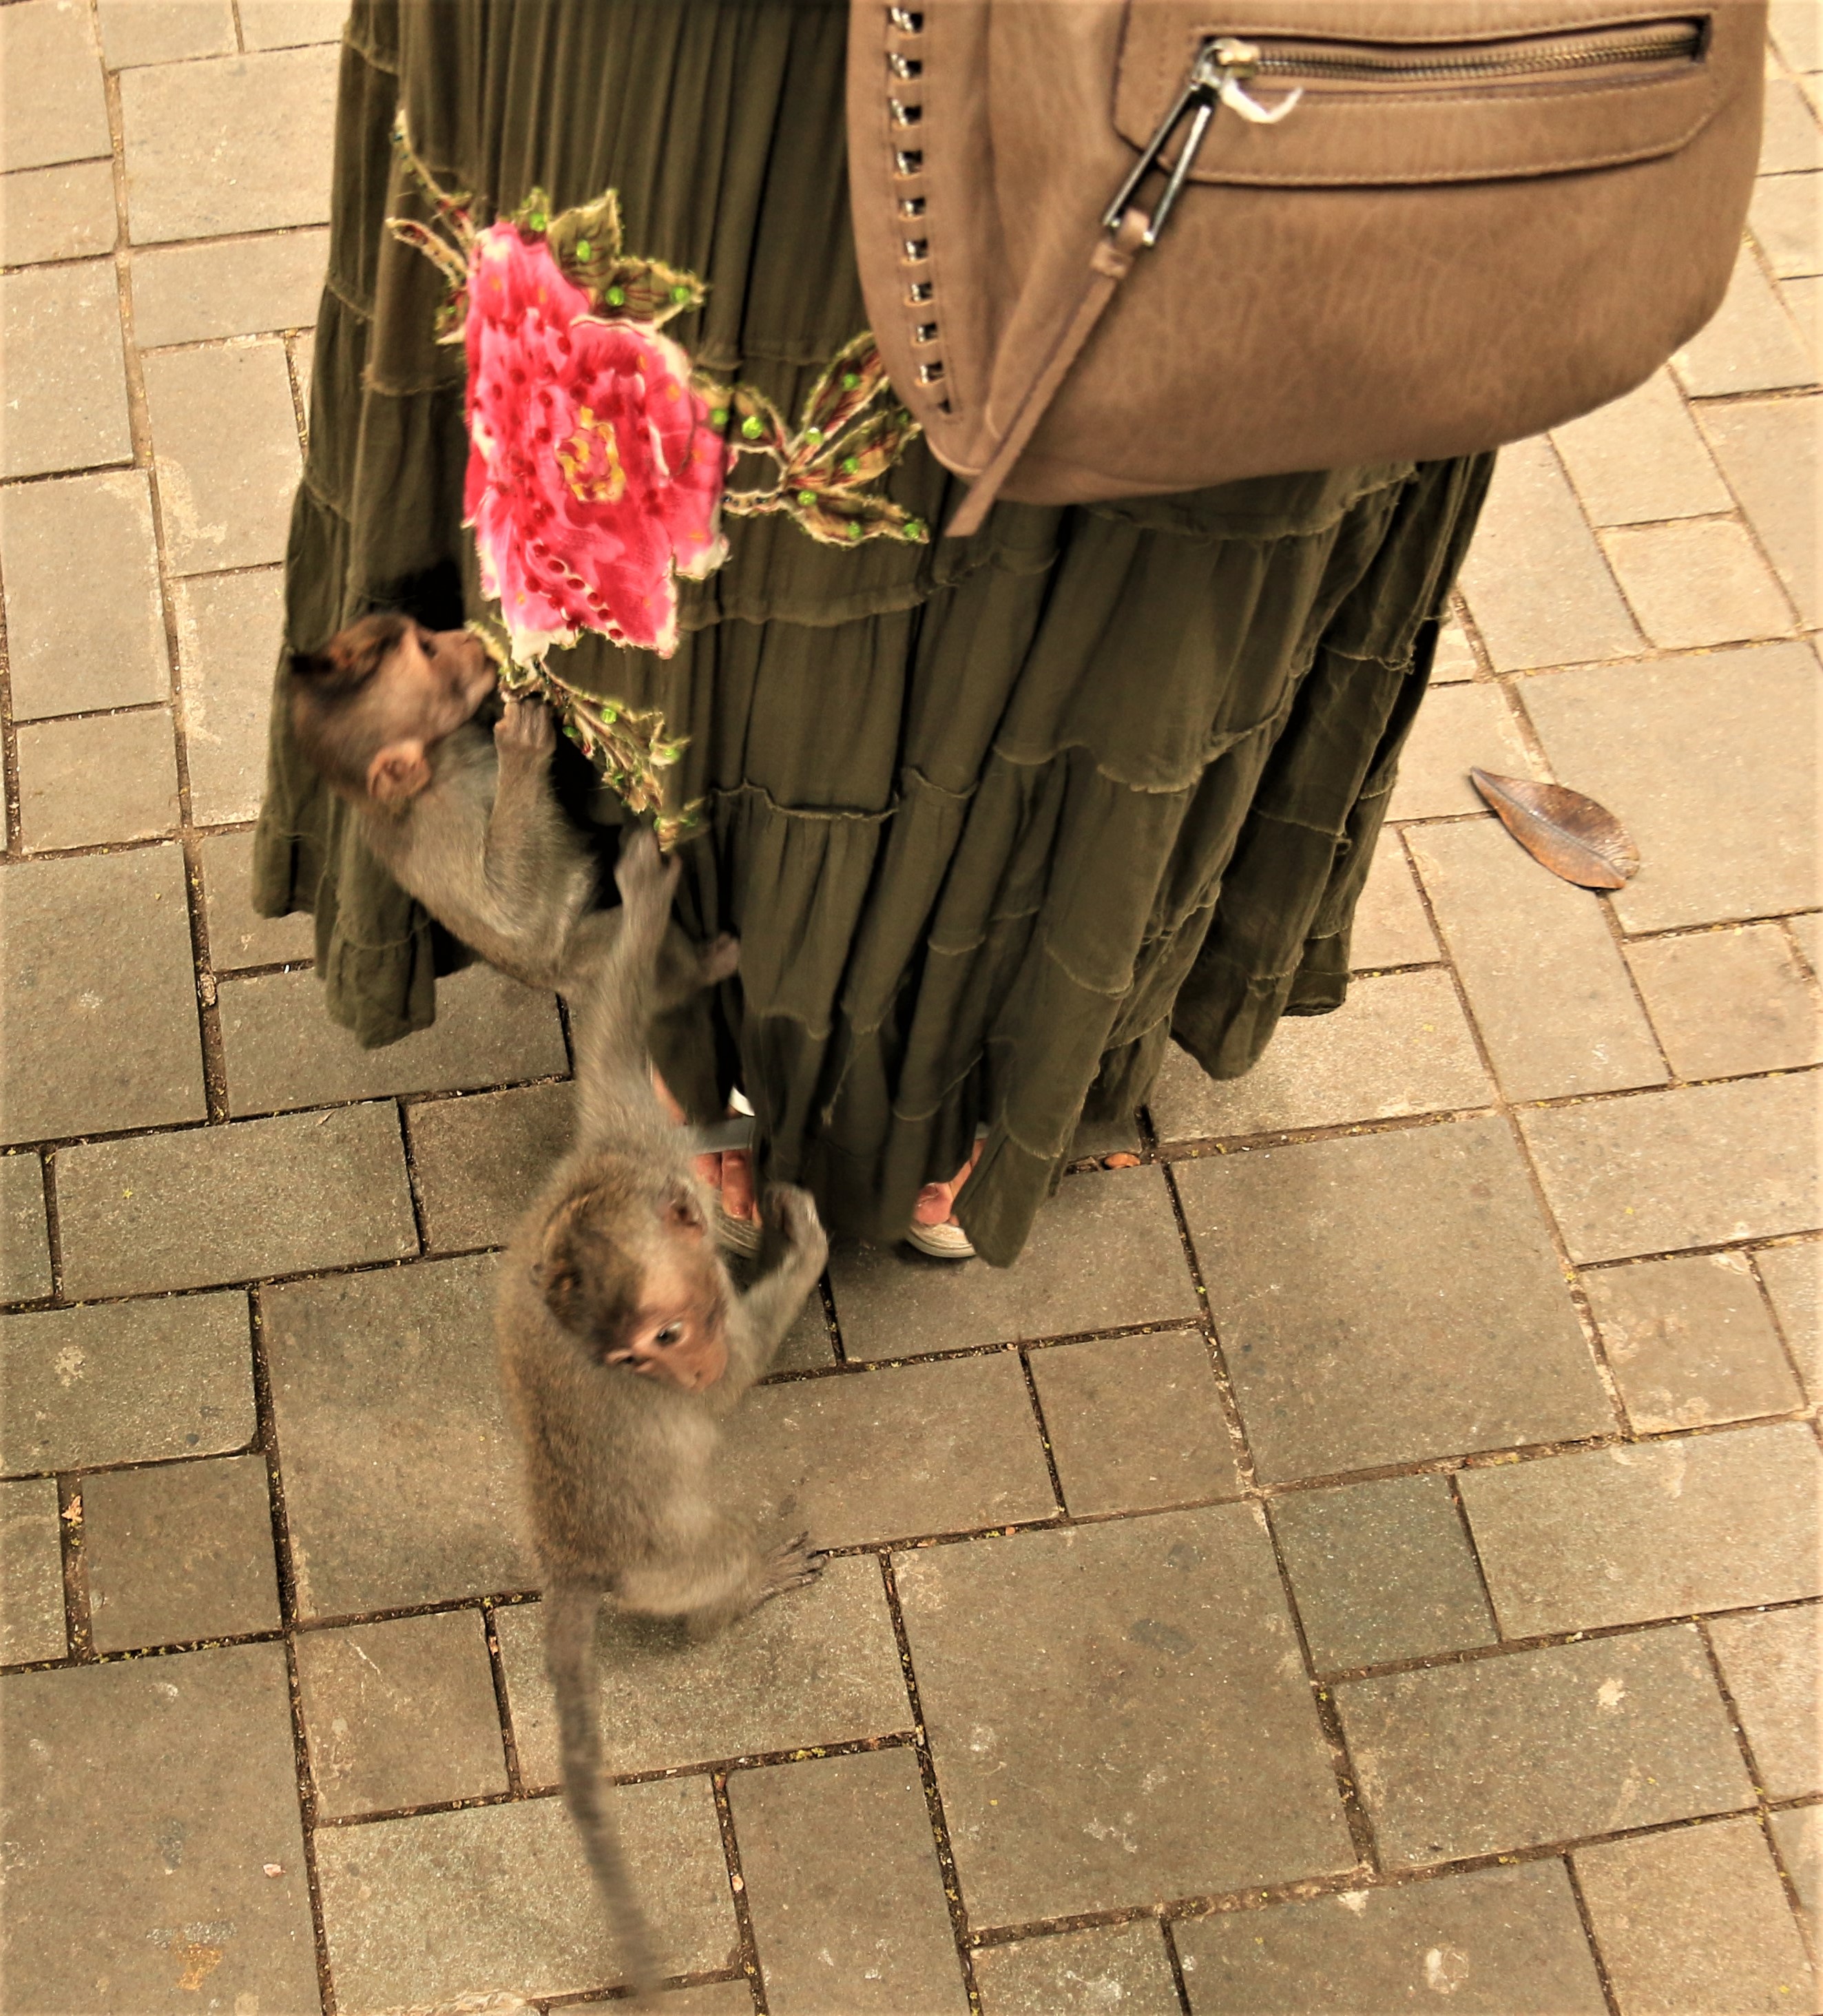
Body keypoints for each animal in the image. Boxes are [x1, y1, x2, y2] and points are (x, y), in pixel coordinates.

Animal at [495, 828, 830, 2000]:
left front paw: (649, 909)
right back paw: (731, 1597)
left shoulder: (625, 1134)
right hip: (662, 1561)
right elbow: (739, 1384)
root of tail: (573, 1557)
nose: (677, 1371)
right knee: (707, 1554)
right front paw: (804, 1245)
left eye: (660, 1334)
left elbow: (608, 1032)